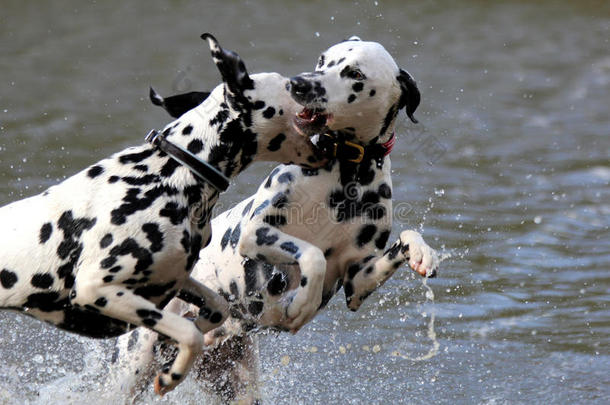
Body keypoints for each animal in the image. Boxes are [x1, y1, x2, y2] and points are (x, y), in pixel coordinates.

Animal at [0, 34, 328, 394]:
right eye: (289, 85)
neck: (171, 174)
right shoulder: (97, 289)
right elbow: (190, 334)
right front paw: (173, 373)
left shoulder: (175, 278)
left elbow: (216, 309)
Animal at [113, 36, 436, 402]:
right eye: (323, 60)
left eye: (354, 73)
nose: (299, 83)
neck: (345, 177)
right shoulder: (255, 233)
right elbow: (312, 255)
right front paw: (301, 304)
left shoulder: (357, 281)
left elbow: (407, 237)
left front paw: (423, 254)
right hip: (131, 371)